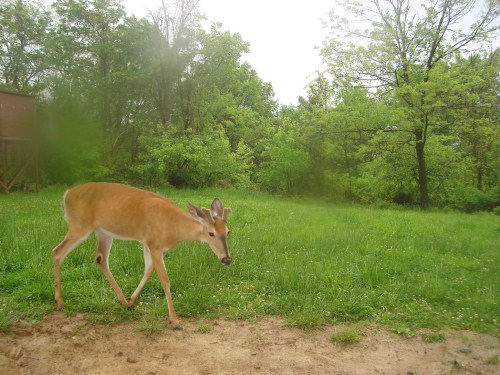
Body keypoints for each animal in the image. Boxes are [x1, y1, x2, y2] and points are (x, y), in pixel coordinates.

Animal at [51, 182, 231, 328]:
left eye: (228, 232)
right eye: (211, 233)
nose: (227, 259)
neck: (173, 227)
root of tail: (66, 194)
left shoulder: (147, 244)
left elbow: (148, 269)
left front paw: (132, 300)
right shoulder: (154, 244)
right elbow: (165, 278)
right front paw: (174, 320)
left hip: (103, 232)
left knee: (100, 258)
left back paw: (123, 301)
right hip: (79, 225)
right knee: (57, 251)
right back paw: (60, 301)